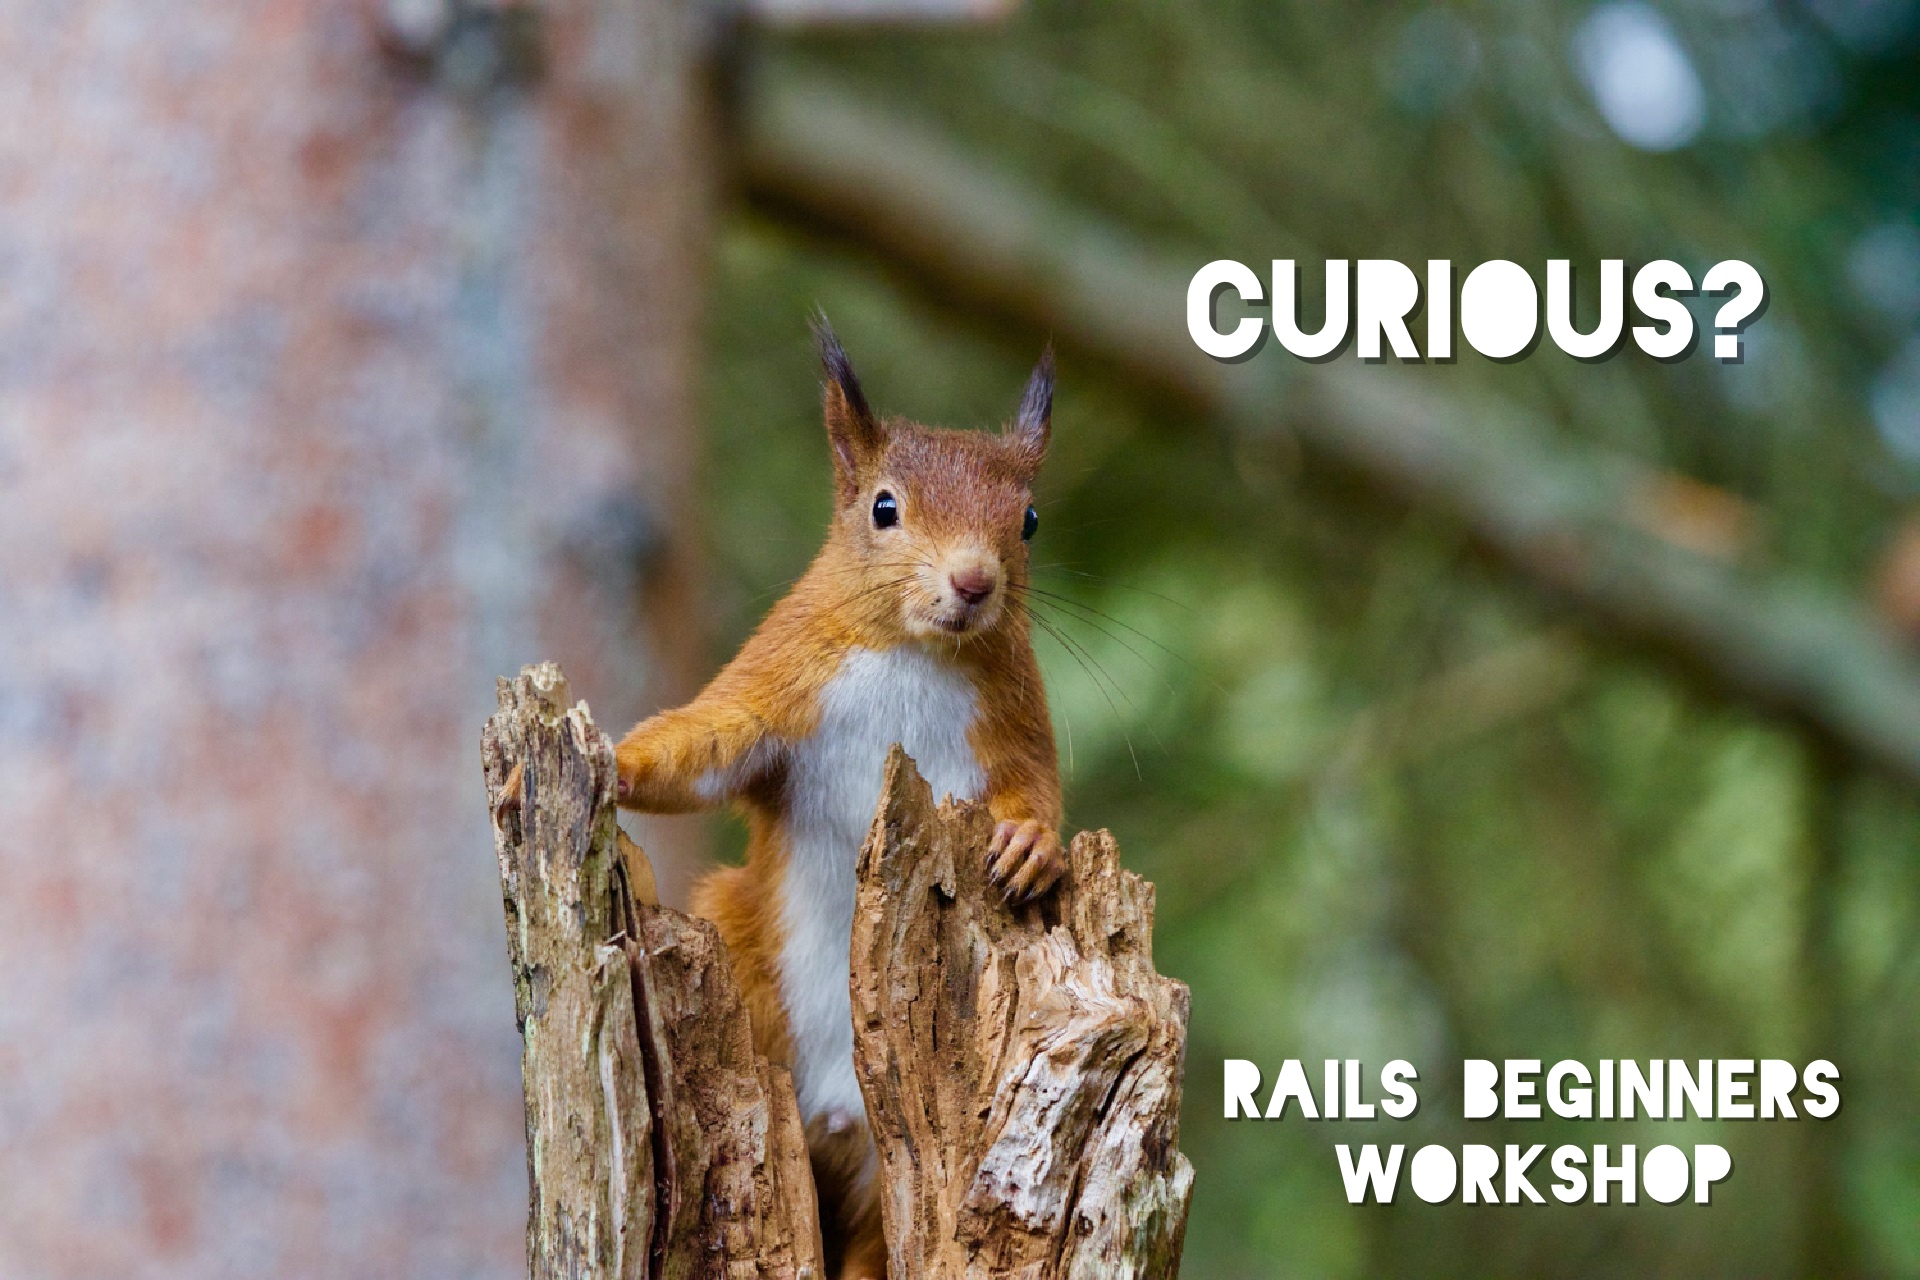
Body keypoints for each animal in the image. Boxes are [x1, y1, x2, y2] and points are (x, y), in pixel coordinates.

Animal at [612, 321, 1066, 1279]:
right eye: (883, 509)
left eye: (1029, 521)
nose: (974, 582)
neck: (913, 650)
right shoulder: (778, 683)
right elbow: (705, 746)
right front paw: (615, 759)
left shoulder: (1014, 724)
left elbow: (1037, 789)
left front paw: (1033, 847)